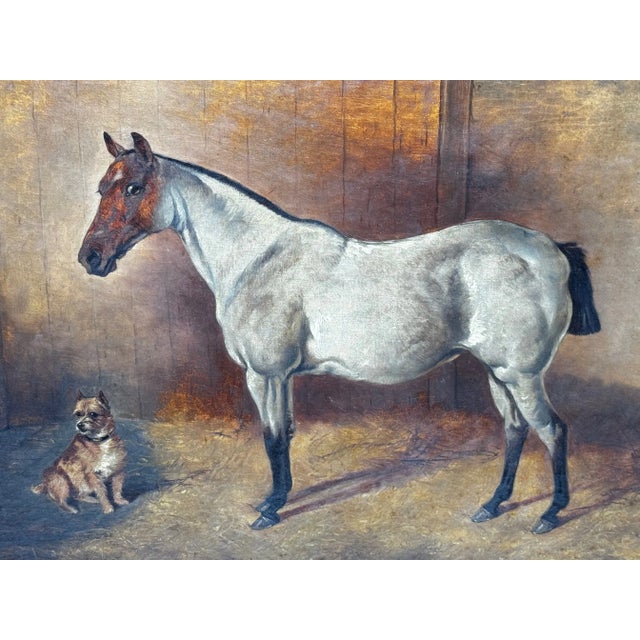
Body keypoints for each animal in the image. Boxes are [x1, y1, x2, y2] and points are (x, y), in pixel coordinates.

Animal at [78, 132, 601, 534]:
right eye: (102, 187)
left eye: (134, 187)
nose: (90, 258)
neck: (257, 258)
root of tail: (551, 248)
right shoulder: (282, 378)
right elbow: (286, 433)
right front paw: (278, 498)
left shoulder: (265, 375)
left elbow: (272, 437)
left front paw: (270, 509)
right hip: (498, 372)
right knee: (516, 430)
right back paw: (492, 505)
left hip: (520, 374)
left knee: (552, 430)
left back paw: (550, 514)